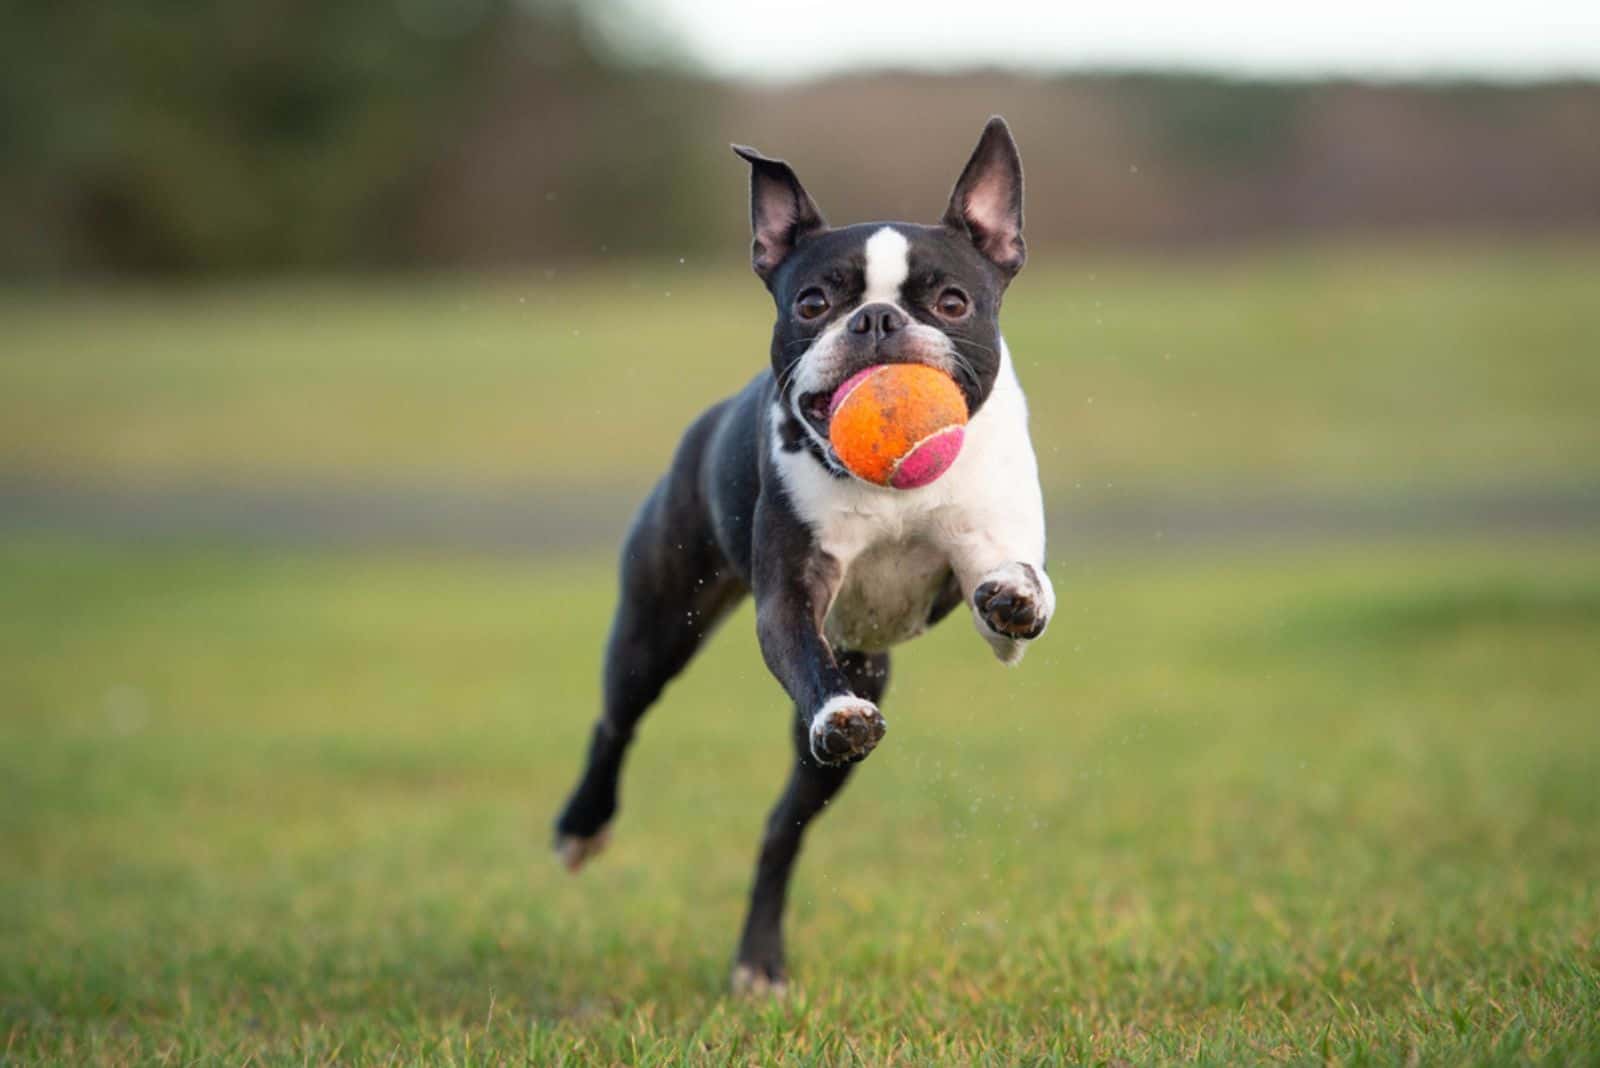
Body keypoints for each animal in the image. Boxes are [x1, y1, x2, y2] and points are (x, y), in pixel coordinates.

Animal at [556, 116, 1056, 991]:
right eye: (813, 301)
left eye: (953, 302)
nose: (877, 320)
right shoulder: (791, 599)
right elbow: (802, 654)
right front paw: (838, 711)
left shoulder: (991, 554)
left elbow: (1014, 589)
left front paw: (1016, 595)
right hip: (659, 624)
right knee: (618, 719)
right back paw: (584, 826)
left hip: (844, 704)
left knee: (780, 831)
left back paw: (760, 959)